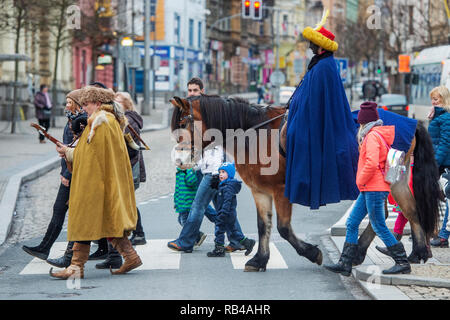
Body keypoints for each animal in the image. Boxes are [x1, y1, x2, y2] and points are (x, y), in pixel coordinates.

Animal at [169, 94, 440, 272]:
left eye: (183, 124)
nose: (180, 160)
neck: (256, 134)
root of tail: (409, 121)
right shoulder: (260, 191)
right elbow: (263, 226)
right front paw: (260, 260)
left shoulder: (281, 191)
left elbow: (283, 229)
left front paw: (312, 252)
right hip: (393, 180)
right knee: (404, 210)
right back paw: (411, 253)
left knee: (388, 213)